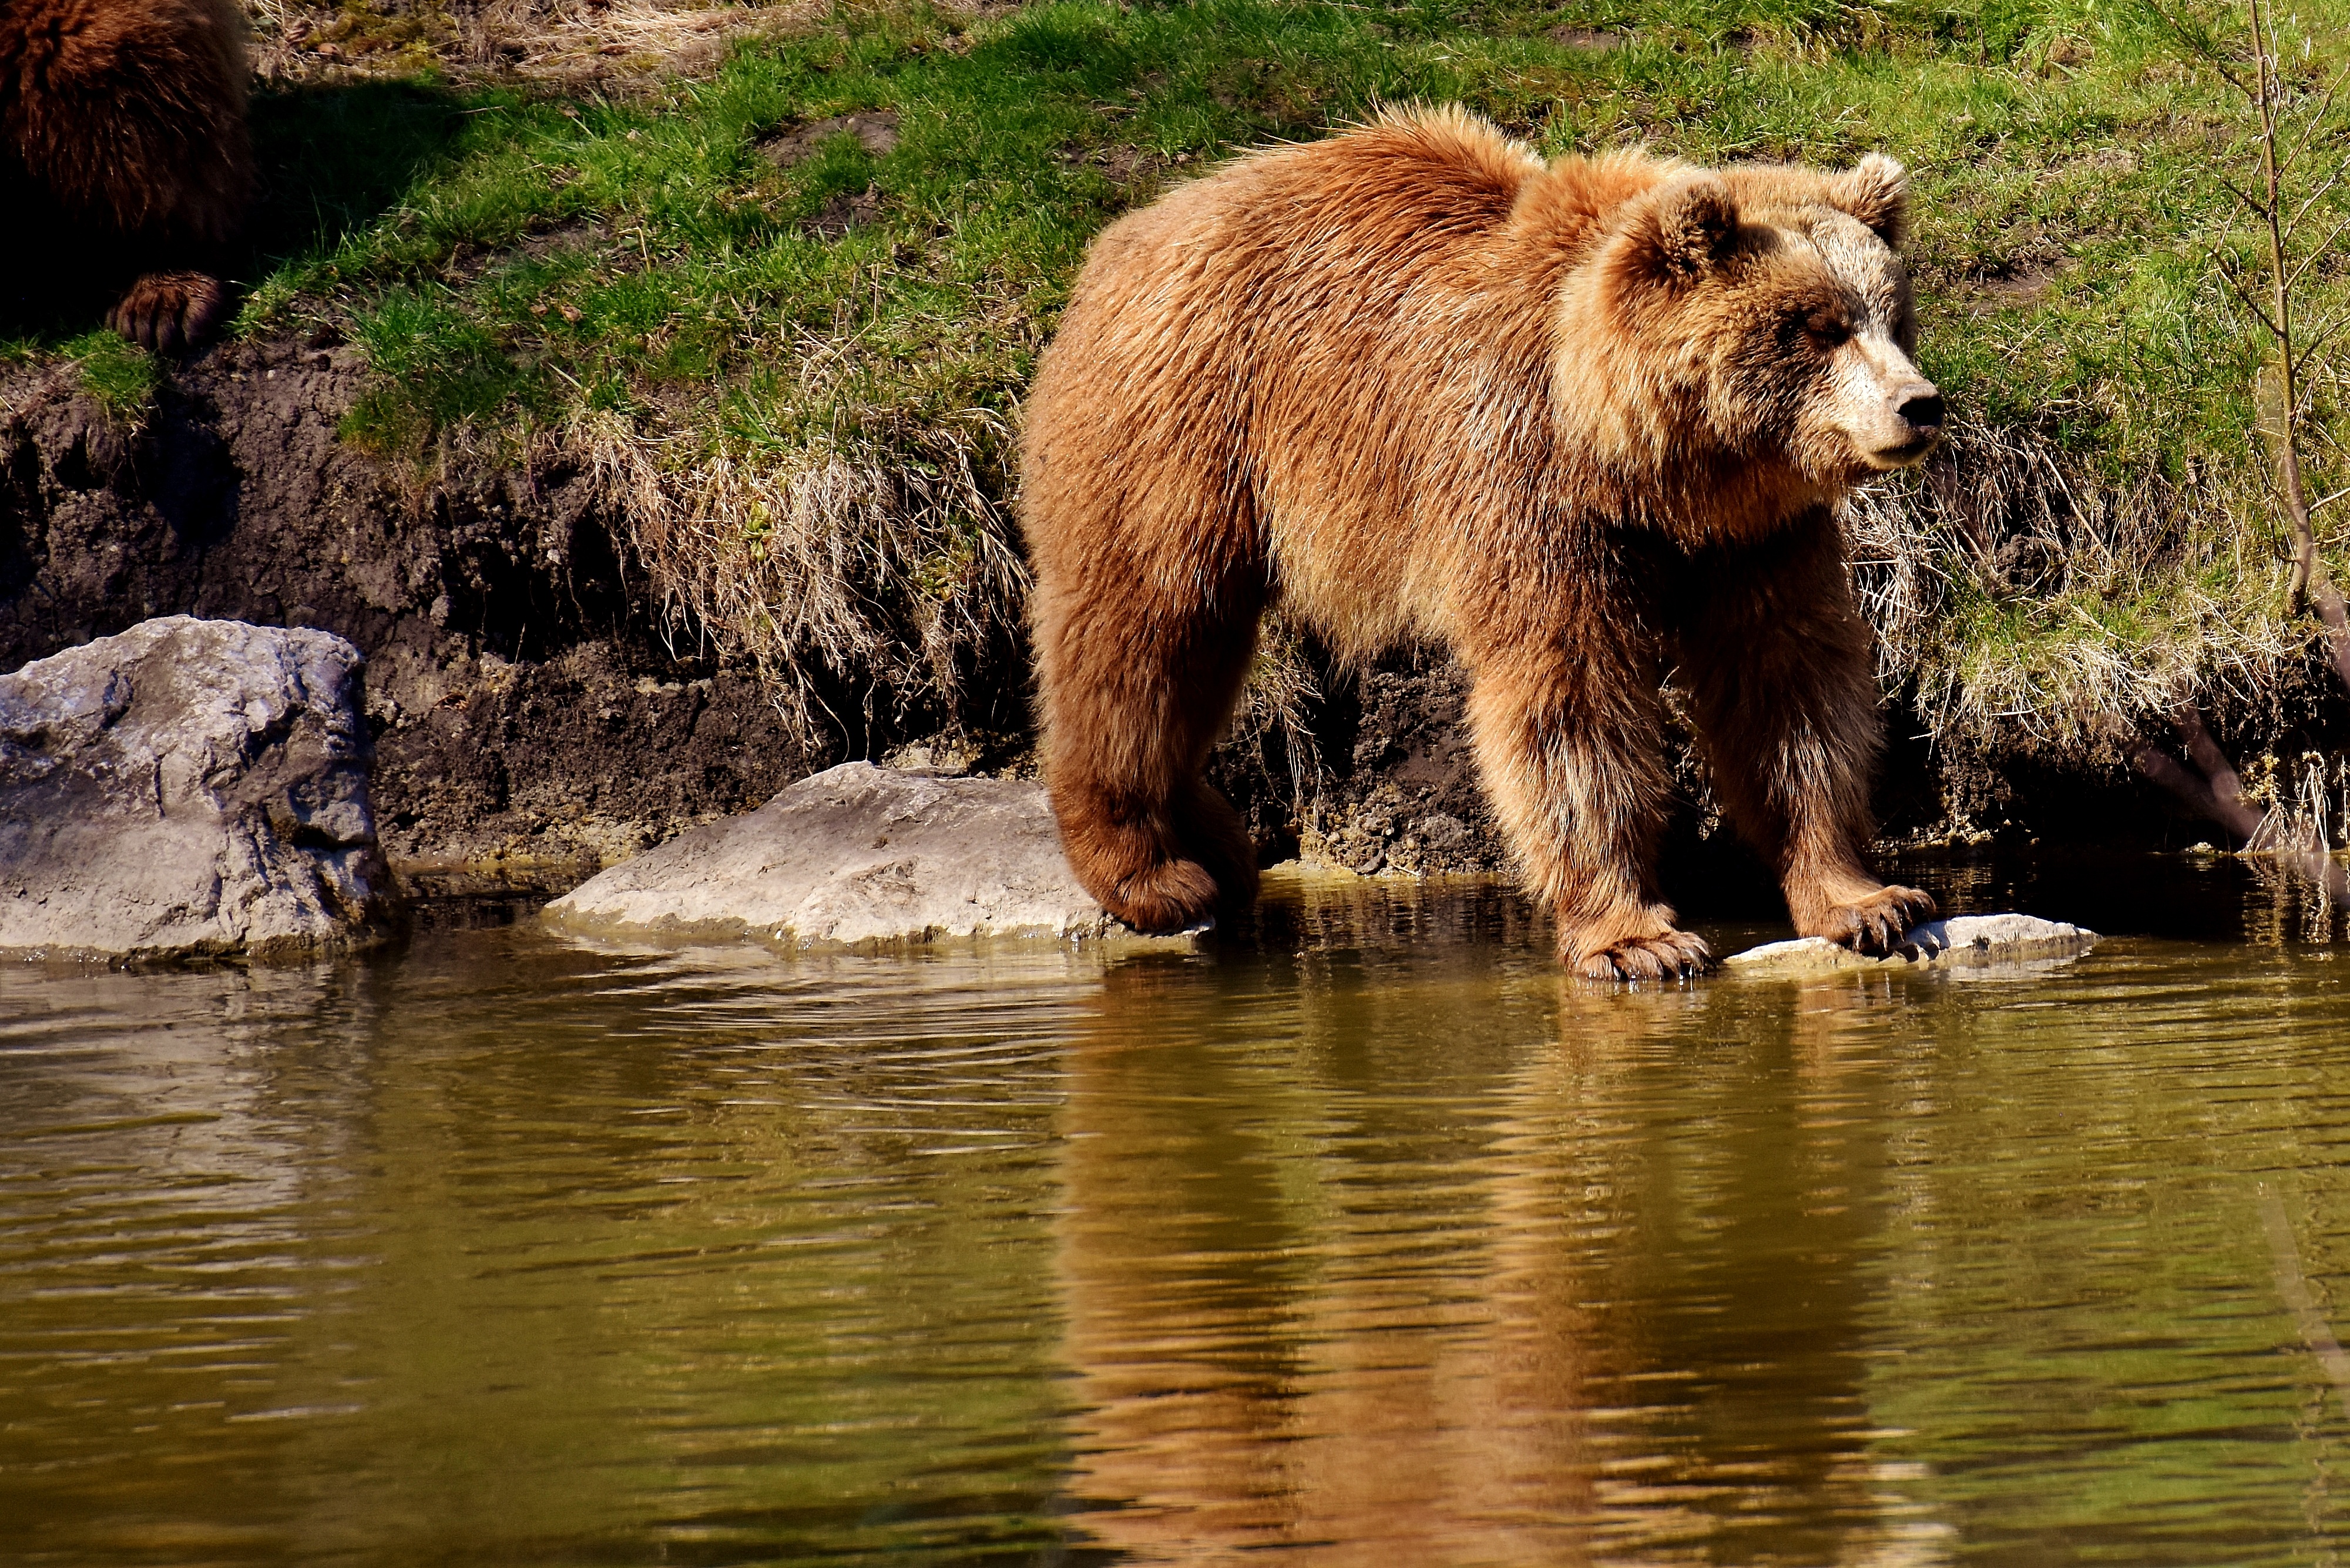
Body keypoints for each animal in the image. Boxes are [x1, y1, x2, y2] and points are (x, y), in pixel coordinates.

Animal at [1019, 105, 1943, 979]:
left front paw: (1866, 899)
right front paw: (1636, 937)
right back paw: (1149, 873)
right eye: (1817, 326)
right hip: (1183, 429)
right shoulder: (1524, 486)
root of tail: (1120, 239)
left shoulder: (1753, 535)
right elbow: (1568, 698)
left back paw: (1218, 846)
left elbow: (1787, 686)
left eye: (1893, 316)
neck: (1643, 464)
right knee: (1146, 630)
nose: (1918, 403)